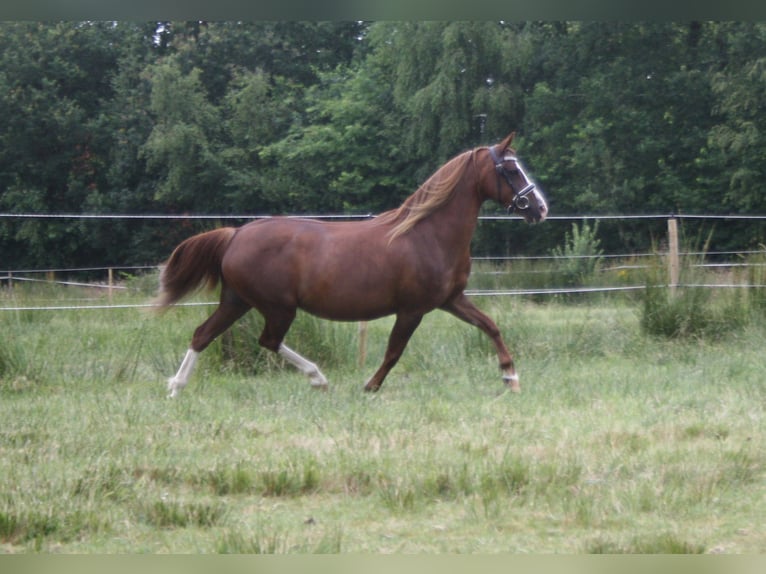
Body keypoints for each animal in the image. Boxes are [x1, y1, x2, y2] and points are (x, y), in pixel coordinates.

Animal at [159, 133, 548, 398]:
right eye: (510, 169)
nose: (540, 208)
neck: (427, 234)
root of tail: (236, 234)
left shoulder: (451, 300)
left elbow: (491, 326)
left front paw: (511, 378)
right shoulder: (412, 309)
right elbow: (393, 352)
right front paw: (370, 386)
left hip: (237, 301)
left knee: (203, 334)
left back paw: (176, 387)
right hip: (277, 307)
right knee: (267, 340)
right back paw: (318, 377)